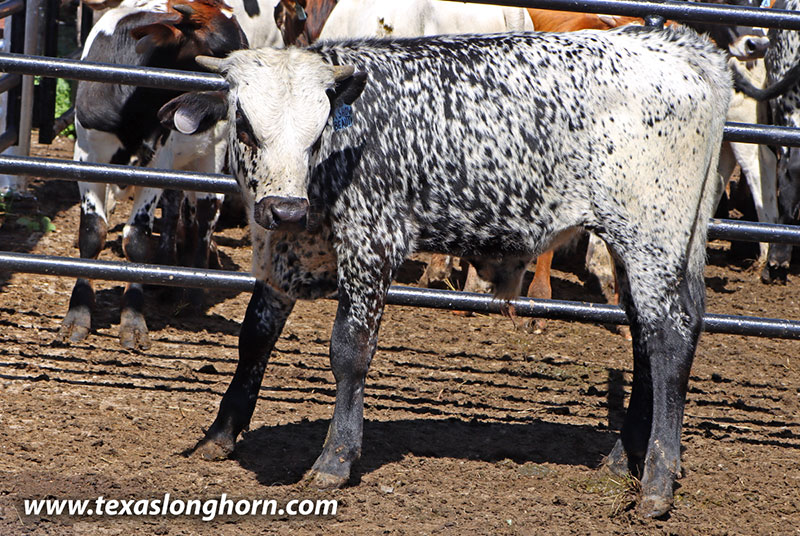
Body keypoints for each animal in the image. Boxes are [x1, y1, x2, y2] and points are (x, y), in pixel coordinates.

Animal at [161, 25, 731, 517]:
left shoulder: (372, 247)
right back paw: (621, 460)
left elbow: (349, 351)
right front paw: (217, 436)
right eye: (244, 125)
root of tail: (679, 47)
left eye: (317, 129)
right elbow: (254, 338)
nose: (284, 209)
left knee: (669, 339)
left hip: (650, 233)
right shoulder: (282, 255)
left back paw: (656, 481)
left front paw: (335, 459)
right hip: (647, 244)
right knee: (645, 337)